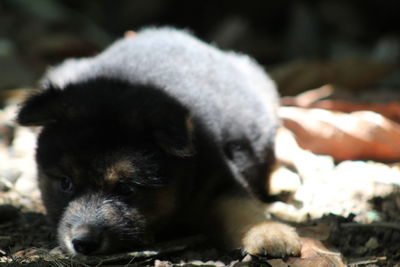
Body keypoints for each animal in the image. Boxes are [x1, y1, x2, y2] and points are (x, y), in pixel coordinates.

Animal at [17, 27, 302, 258]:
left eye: (126, 189)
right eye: (65, 183)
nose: (83, 243)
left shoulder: (219, 179)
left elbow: (241, 207)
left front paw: (270, 234)